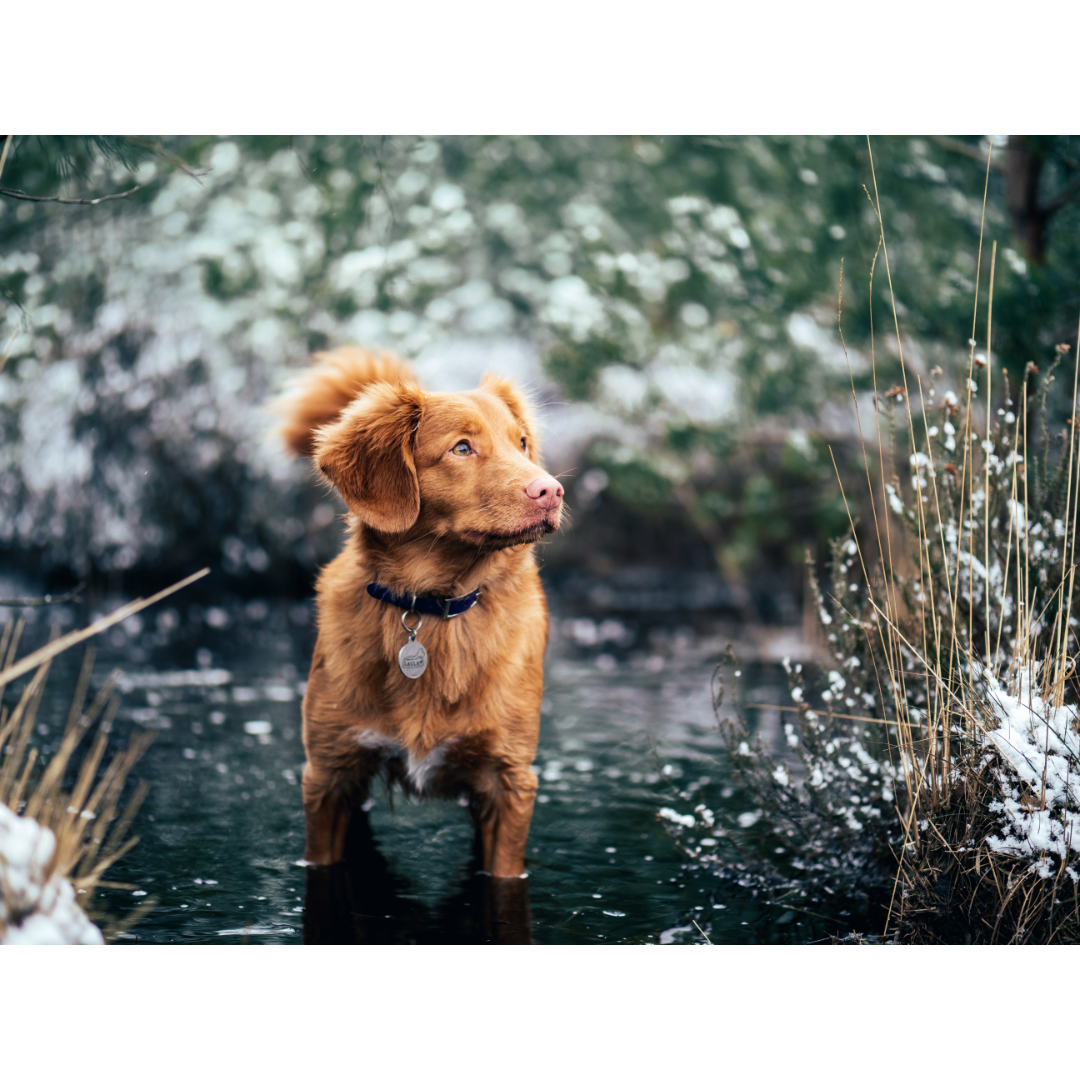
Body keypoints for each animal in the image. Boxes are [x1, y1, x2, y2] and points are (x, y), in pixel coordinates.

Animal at [278, 345, 565, 876]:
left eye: (521, 443)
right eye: (462, 449)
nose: (552, 491)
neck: (431, 608)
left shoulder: (509, 782)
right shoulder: (329, 775)